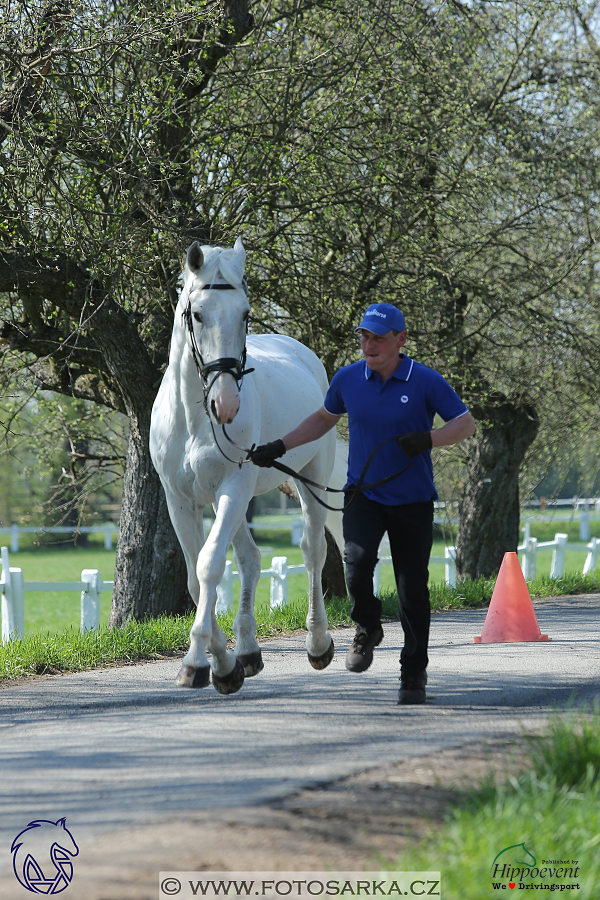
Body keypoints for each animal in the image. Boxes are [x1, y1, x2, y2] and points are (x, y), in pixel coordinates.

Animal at [150, 237, 344, 696]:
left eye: (245, 313)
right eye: (197, 313)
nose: (226, 403)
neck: (194, 417)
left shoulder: (233, 487)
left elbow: (209, 566)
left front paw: (197, 663)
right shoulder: (180, 500)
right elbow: (194, 575)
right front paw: (223, 663)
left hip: (310, 482)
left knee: (313, 551)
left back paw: (318, 643)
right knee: (252, 559)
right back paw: (249, 652)